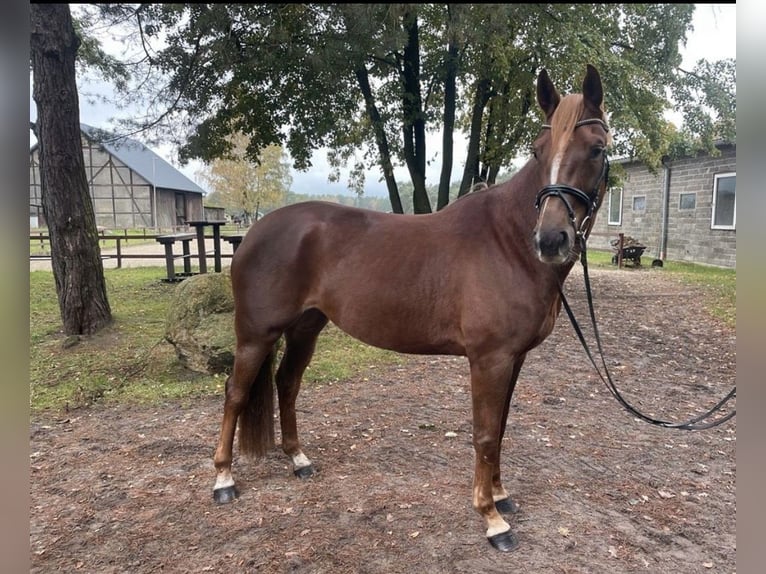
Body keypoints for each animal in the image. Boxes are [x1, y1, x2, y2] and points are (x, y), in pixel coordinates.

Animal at [210, 64, 612, 552]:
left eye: (596, 149)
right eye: (538, 151)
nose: (551, 240)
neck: (508, 242)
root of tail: (253, 231)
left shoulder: (514, 359)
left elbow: (500, 427)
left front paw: (501, 495)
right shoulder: (490, 359)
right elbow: (484, 434)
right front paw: (492, 518)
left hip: (306, 327)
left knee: (287, 384)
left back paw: (299, 460)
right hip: (256, 333)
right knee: (235, 393)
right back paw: (223, 480)